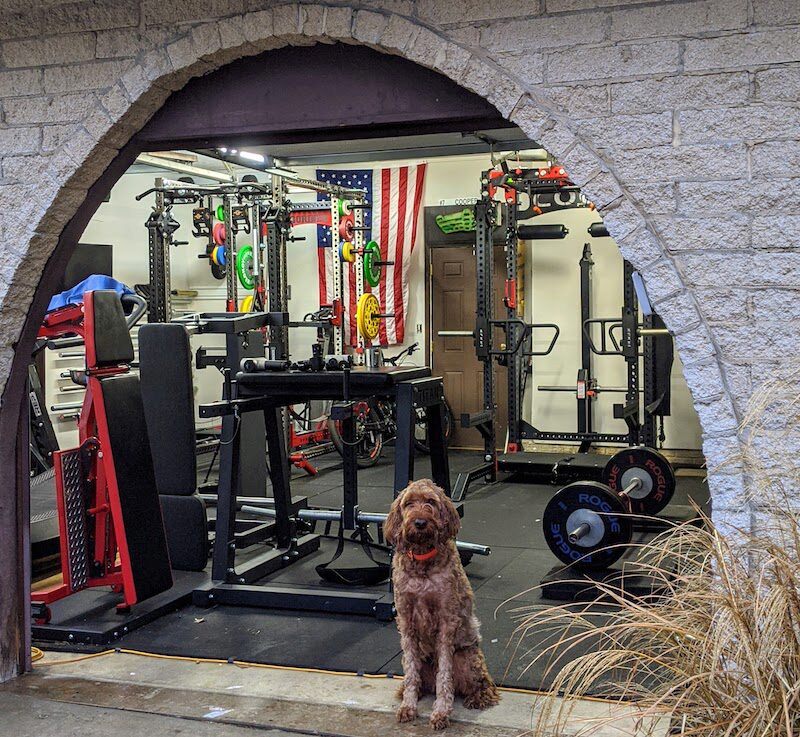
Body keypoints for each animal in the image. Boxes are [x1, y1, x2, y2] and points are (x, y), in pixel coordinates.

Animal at [382, 480, 500, 728]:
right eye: (409, 503)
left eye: (430, 502)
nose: (419, 522)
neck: (422, 561)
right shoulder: (406, 620)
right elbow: (411, 673)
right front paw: (408, 705)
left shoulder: (447, 620)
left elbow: (444, 676)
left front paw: (441, 712)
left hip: (466, 659)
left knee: (482, 685)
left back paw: (477, 698)